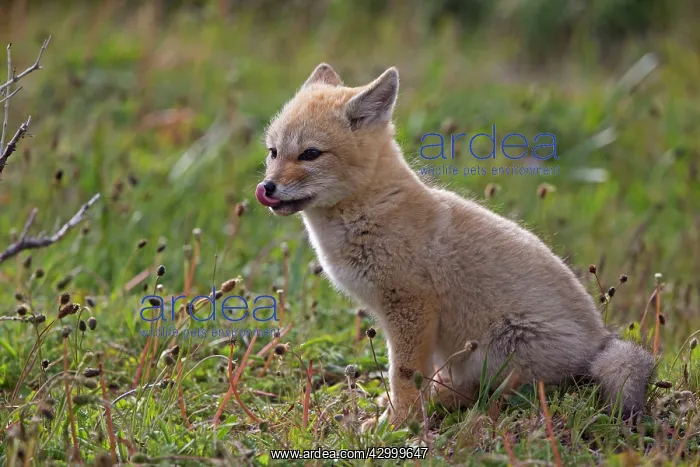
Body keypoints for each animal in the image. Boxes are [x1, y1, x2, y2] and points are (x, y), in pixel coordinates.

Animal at [254, 63, 656, 428]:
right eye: (273, 152)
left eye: (310, 154)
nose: (267, 188)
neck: (372, 212)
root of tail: (599, 343)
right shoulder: (401, 318)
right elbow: (408, 374)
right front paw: (398, 413)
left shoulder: (410, 308)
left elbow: (404, 375)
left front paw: (399, 423)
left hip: (500, 347)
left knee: (498, 392)